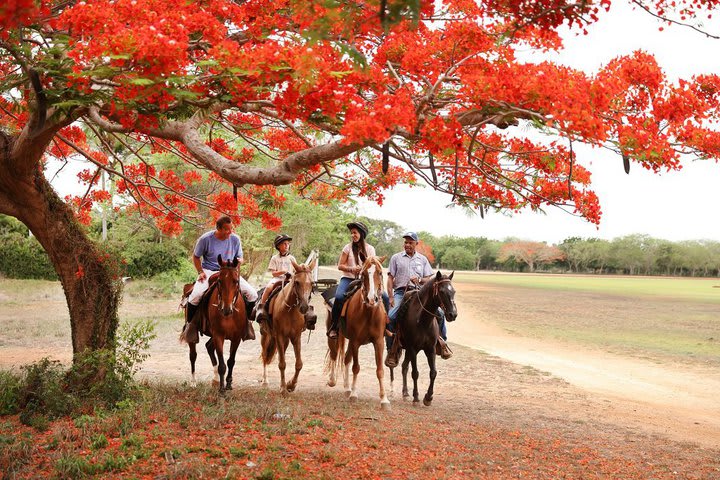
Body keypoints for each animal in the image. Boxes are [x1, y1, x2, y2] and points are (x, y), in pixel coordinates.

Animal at [187, 255, 252, 394]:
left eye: (235, 281)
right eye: (219, 281)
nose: (226, 309)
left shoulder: (236, 338)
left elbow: (231, 361)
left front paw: (228, 384)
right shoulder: (218, 335)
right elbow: (222, 364)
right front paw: (222, 390)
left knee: (209, 347)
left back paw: (215, 379)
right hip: (195, 335)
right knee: (193, 355)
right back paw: (193, 382)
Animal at [258, 255, 316, 394]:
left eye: (312, 283)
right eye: (297, 282)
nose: (304, 307)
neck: (289, 310)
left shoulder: (295, 337)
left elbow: (299, 364)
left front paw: (291, 385)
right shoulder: (279, 335)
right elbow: (282, 363)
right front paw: (284, 388)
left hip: (285, 340)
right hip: (266, 335)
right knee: (265, 356)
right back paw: (265, 381)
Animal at [324, 255, 390, 408]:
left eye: (380, 273)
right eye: (363, 274)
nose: (372, 299)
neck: (369, 312)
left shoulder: (379, 342)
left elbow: (380, 370)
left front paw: (384, 399)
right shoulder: (356, 342)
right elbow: (356, 367)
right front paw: (354, 394)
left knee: (346, 359)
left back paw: (347, 388)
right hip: (333, 335)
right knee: (335, 355)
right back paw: (332, 380)